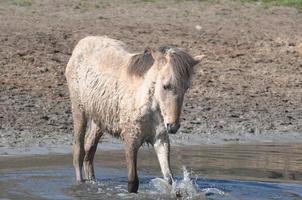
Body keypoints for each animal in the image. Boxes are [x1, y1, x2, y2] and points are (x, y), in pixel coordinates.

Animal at [65, 36, 204, 192]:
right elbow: (133, 181)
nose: (173, 126)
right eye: (165, 86)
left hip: (100, 118)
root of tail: (82, 42)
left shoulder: (160, 139)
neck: (147, 104)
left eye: (186, 88)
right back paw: (80, 184)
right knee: (79, 151)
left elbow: (169, 179)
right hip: (79, 110)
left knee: (89, 151)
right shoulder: (131, 140)